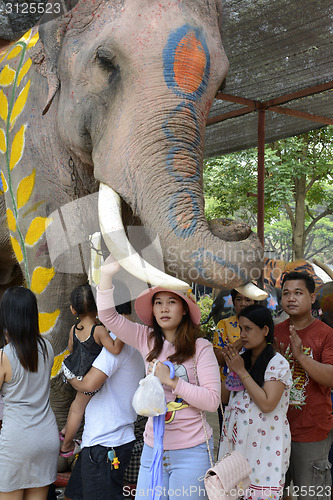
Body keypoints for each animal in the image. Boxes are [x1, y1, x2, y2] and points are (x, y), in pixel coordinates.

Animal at [1, 0, 264, 430]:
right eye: (105, 62)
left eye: (223, 83)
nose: (238, 226)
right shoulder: (25, 147)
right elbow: (53, 268)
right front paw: (59, 432)